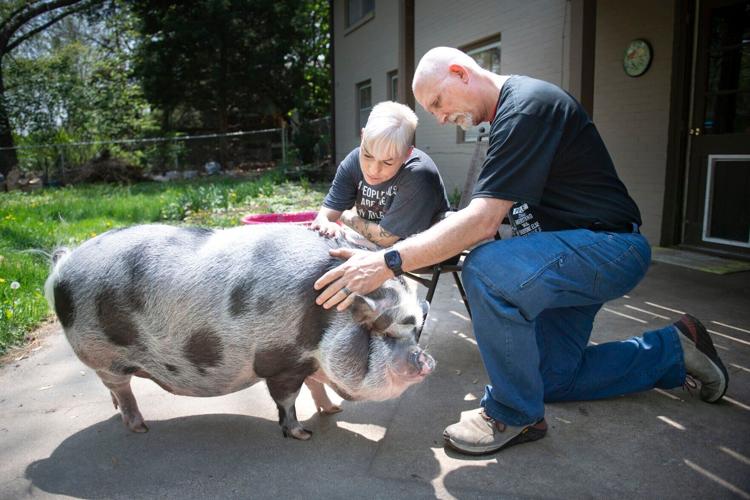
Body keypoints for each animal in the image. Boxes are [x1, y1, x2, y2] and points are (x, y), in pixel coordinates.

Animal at [44, 223, 435, 440]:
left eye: (415, 331)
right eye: (384, 331)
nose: (425, 361)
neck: (324, 320)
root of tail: (64, 263)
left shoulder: (307, 359)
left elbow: (316, 386)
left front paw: (333, 411)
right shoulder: (282, 360)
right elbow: (287, 399)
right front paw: (302, 434)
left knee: (115, 389)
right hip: (101, 354)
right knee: (121, 388)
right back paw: (140, 427)